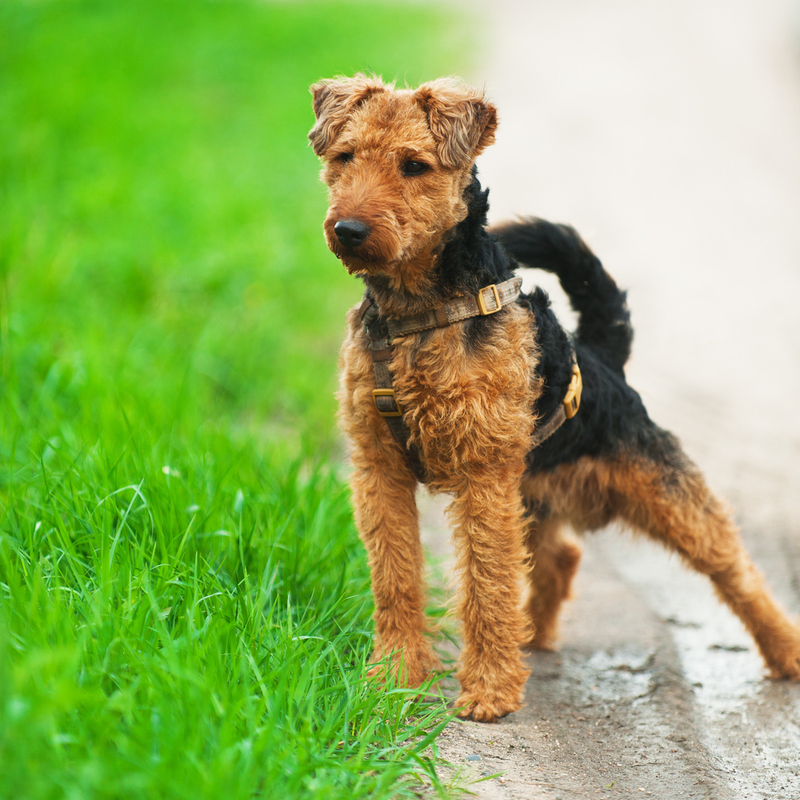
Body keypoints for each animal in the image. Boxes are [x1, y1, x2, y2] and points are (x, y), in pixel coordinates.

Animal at [306, 76, 800, 724]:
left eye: (414, 165)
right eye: (344, 157)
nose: (350, 232)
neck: (416, 314)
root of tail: (604, 357)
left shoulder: (482, 472)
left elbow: (486, 582)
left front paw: (488, 692)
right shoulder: (379, 465)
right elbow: (396, 577)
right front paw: (393, 678)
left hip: (662, 489)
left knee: (736, 569)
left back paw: (786, 652)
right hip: (531, 487)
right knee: (558, 558)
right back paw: (531, 636)